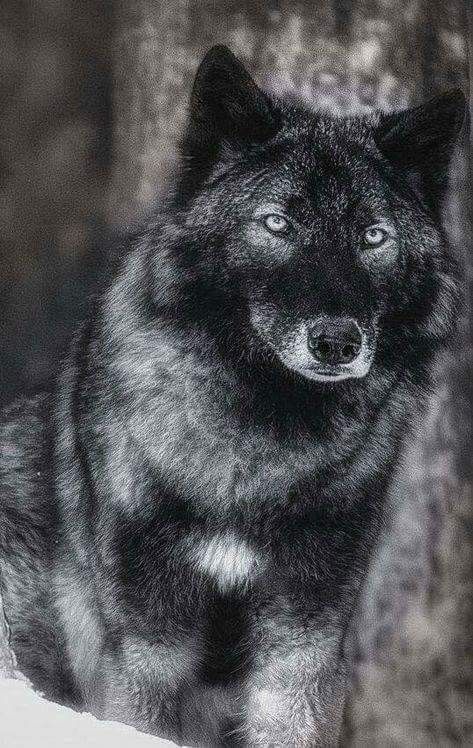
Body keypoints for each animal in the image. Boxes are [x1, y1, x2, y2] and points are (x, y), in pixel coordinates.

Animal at [0, 46, 464, 748]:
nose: (337, 341)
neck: (256, 454)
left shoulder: (305, 635)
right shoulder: (146, 637)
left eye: (373, 236)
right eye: (278, 223)